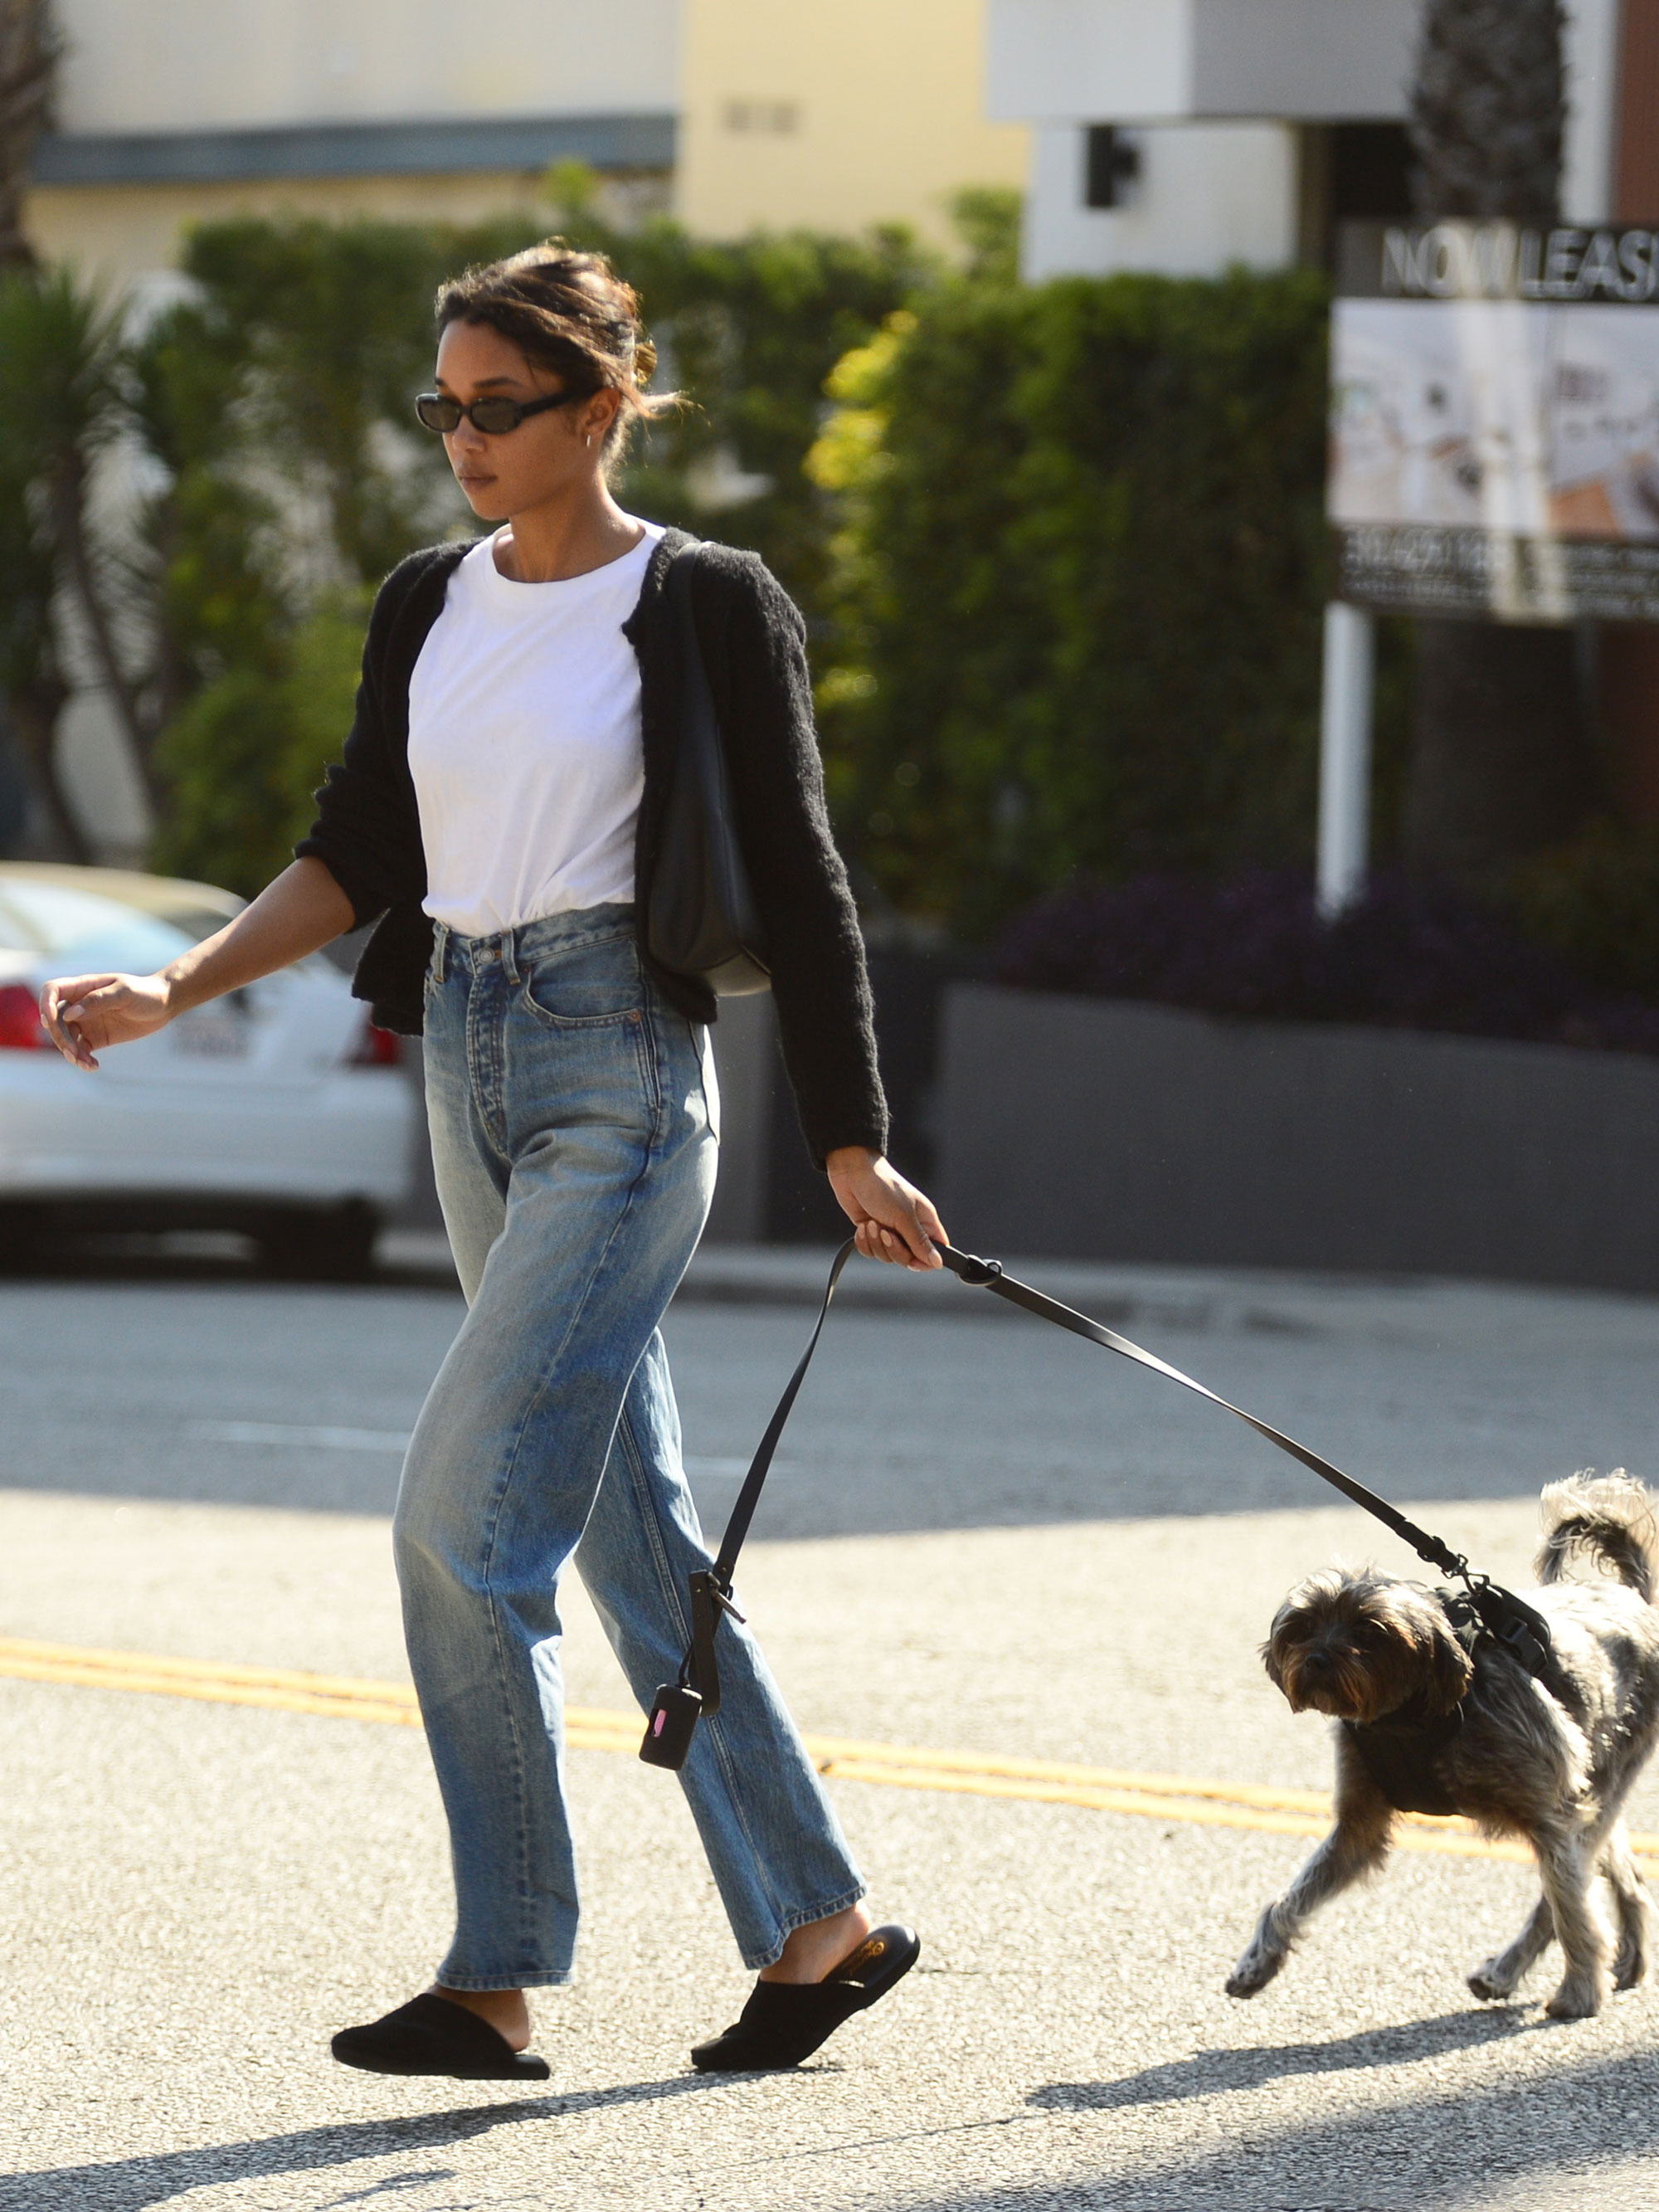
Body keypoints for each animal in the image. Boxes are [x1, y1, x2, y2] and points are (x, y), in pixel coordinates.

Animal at [1229, 1469, 1659, 2026]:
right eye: (1303, 1625)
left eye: (1370, 1631)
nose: (1318, 1659)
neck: (1408, 1716)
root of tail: (1634, 1597)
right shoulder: (1358, 1829)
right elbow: (1289, 1900)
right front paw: (1258, 1962)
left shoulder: (1552, 1816)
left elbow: (1573, 1913)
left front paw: (1582, 1991)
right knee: (1624, 1872)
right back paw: (1625, 1958)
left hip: (1601, 1786)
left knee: (1566, 1898)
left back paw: (1532, 1973)